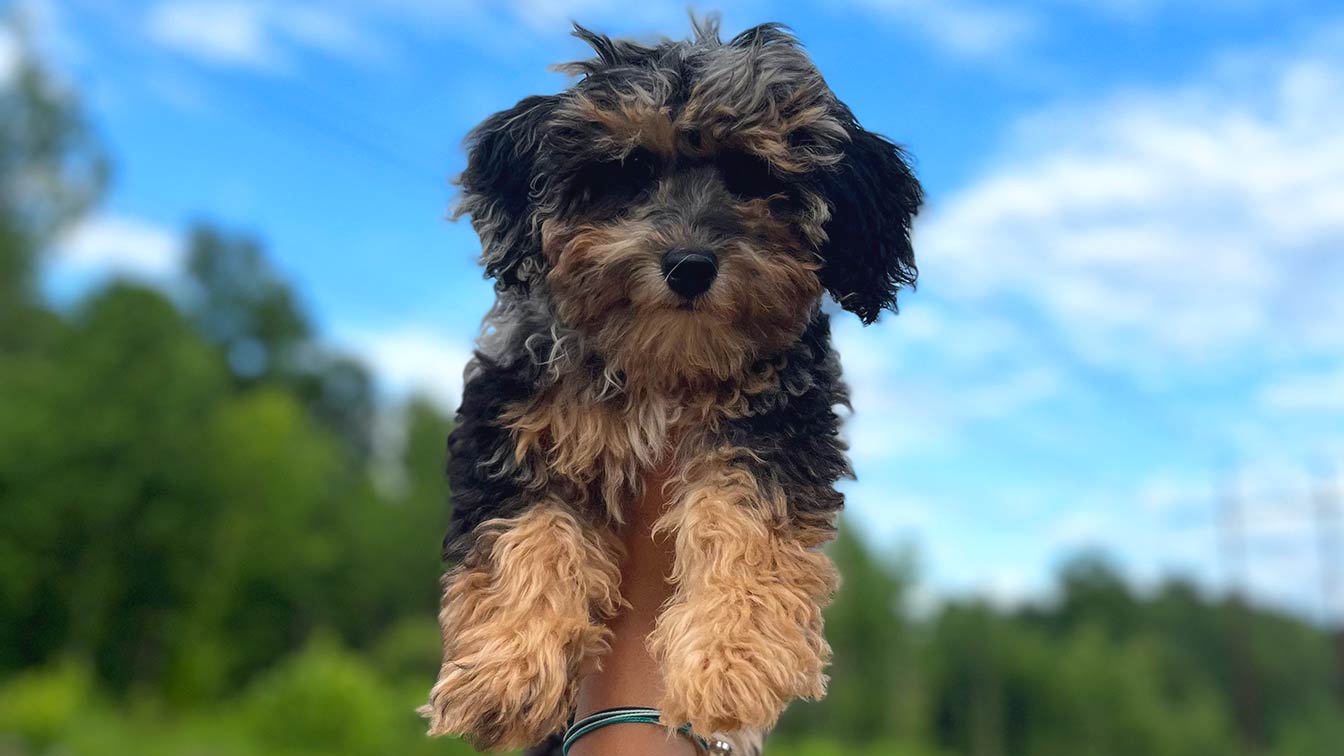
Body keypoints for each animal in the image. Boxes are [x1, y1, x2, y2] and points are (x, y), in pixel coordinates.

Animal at [422, 17, 924, 753]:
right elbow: (526, 533)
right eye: (630, 171)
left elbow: (746, 520)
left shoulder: (776, 424)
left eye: (755, 176)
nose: (690, 265)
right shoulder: (514, 420)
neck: (663, 367)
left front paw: (734, 657)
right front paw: (504, 671)